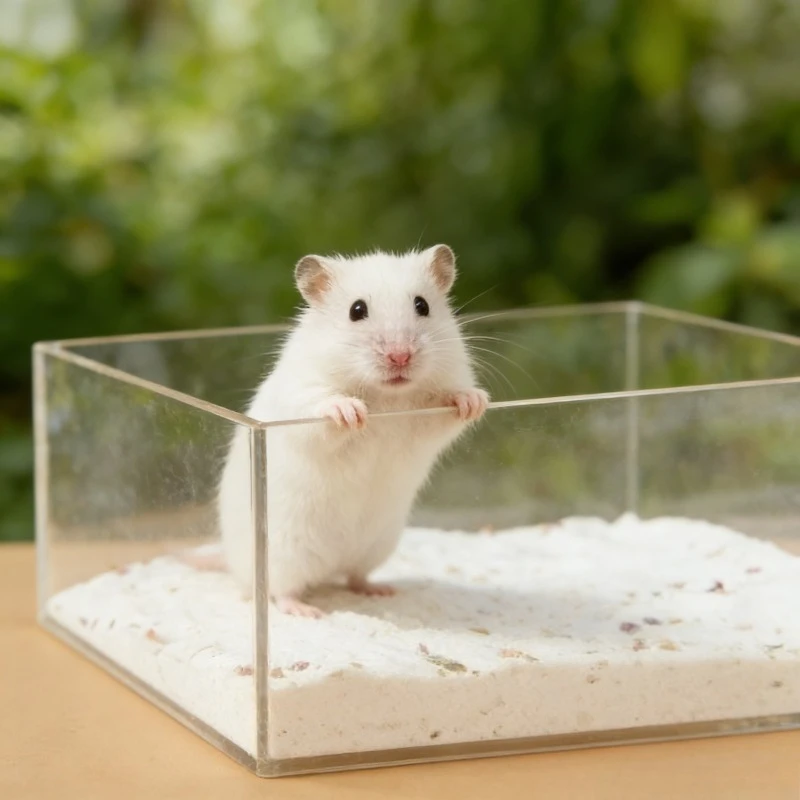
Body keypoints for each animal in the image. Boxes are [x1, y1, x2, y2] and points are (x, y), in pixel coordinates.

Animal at [217, 244, 489, 617]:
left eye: (422, 305)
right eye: (356, 310)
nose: (400, 357)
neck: (388, 395)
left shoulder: (427, 417)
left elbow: (449, 408)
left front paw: (474, 401)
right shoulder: (301, 395)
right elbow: (323, 408)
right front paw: (351, 412)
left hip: (377, 545)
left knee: (354, 576)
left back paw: (380, 590)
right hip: (281, 555)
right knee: (280, 591)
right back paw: (306, 611)